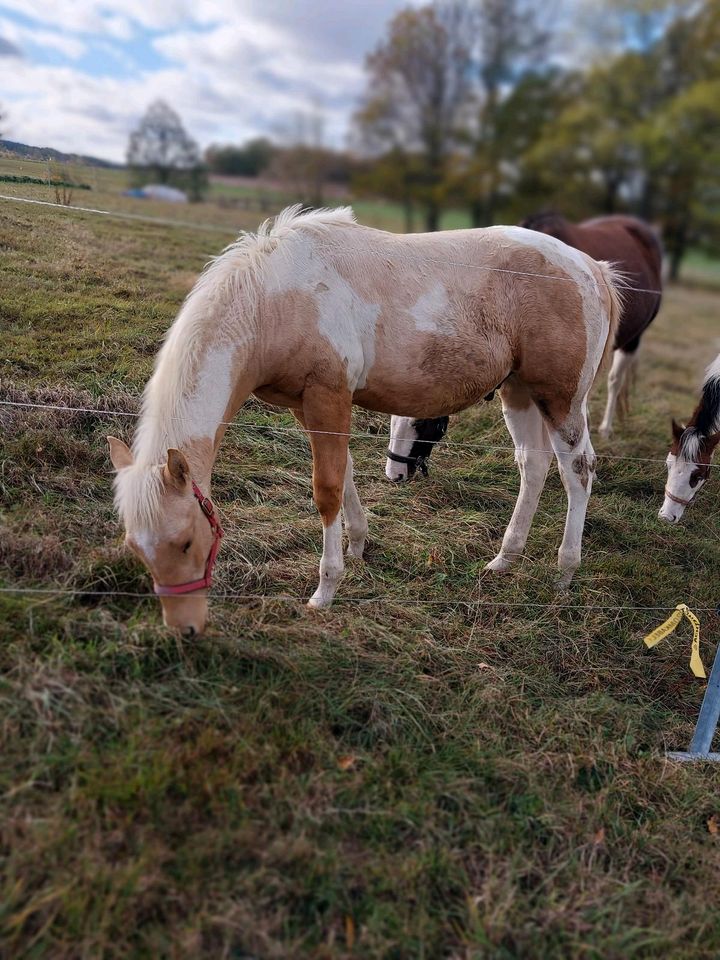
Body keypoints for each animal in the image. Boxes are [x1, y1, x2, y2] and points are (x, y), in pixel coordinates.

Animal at [109, 206, 620, 632]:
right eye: (136, 550)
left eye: (185, 543)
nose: (186, 629)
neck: (275, 298)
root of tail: (592, 268)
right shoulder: (306, 404)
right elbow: (347, 471)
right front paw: (357, 544)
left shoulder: (327, 397)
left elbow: (326, 489)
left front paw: (326, 588)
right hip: (518, 392)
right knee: (532, 465)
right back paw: (504, 559)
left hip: (560, 400)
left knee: (578, 471)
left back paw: (564, 573)